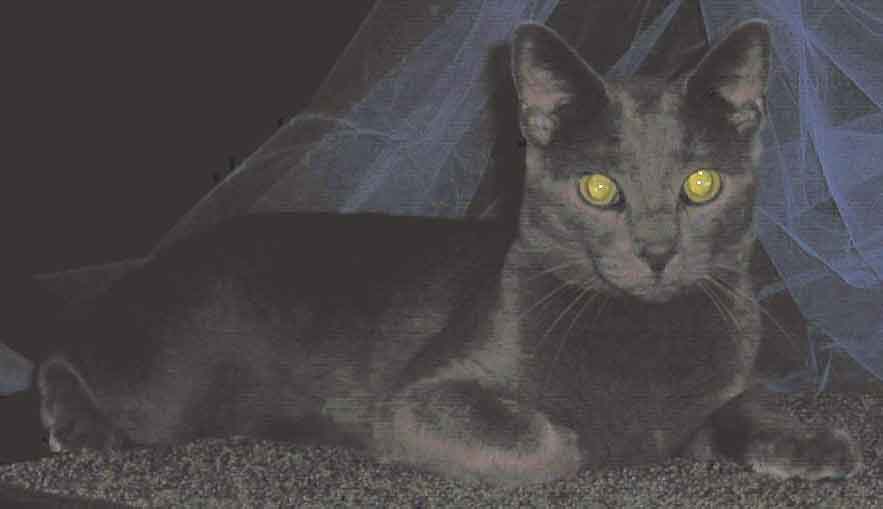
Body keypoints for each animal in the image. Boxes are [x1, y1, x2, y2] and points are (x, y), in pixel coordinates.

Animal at [36, 20, 862, 486]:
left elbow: (743, 404)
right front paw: (601, 440)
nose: (658, 250)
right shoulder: (421, 397)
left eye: (700, 183)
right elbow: (547, 439)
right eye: (598, 188)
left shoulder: (722, 379)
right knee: (65, 352)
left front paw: (812, 442)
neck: (643, 333)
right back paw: (72, 424)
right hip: (169, 389)